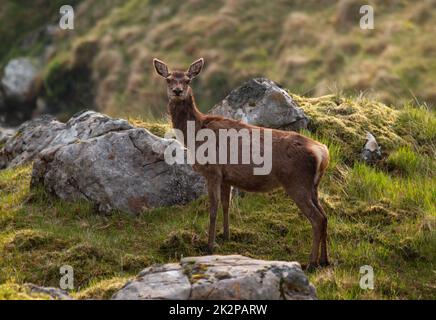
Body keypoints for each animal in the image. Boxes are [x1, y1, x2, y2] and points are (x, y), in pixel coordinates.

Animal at [153, 58, 330, 270]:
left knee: (317, 218)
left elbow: (213, 207)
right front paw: (226, 236)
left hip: (297, 181)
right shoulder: (226, 177)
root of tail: (322, 152)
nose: (177, 91)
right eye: (169, 79)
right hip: (313, 186)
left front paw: (210, 245)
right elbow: (226, 205)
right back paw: (324, 260)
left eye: (188, 80)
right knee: (325, 216)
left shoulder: (212, 170)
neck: (195, 134)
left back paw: (311, 262)